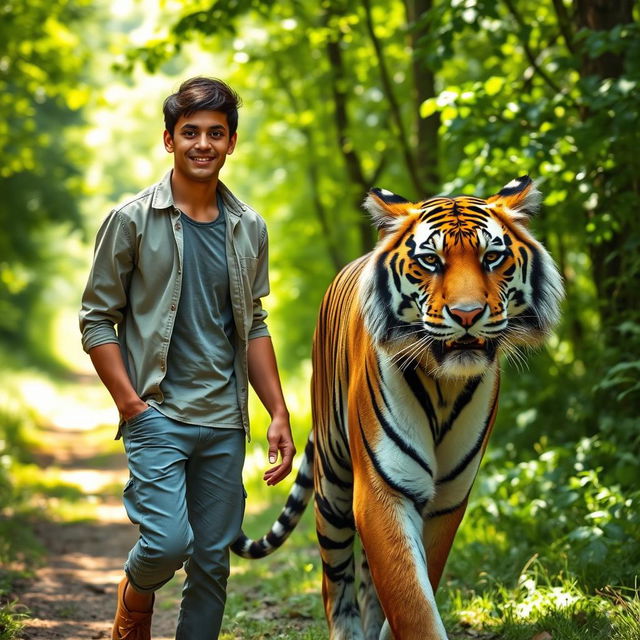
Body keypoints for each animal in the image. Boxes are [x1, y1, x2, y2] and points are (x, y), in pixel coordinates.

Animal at [232, 176, 564, 640]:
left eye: (492, 257)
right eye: (430, 261)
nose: (467, 314)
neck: (445, 385)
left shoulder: (447, 500)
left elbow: (412, 587)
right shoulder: (381, 490)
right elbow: (410, 599)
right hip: (333, 485)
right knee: (336, 579)